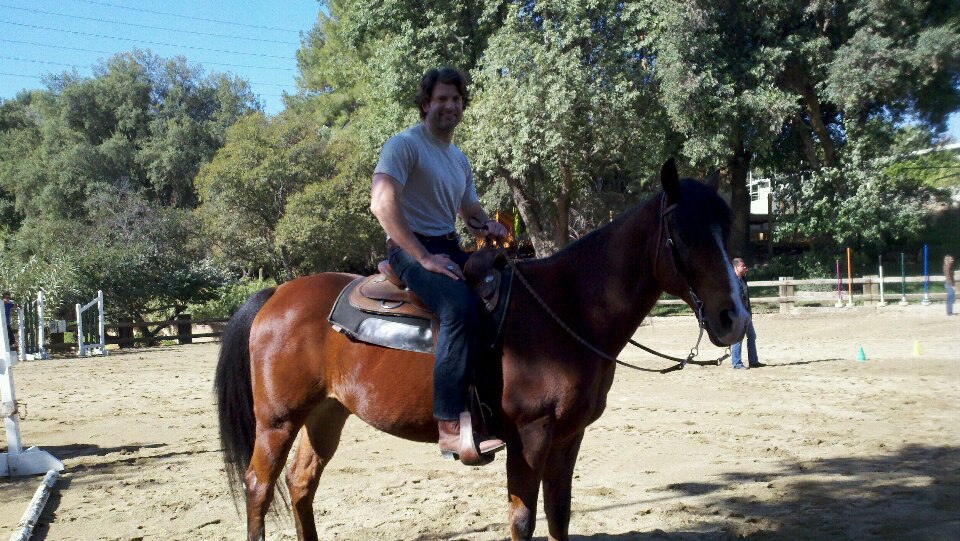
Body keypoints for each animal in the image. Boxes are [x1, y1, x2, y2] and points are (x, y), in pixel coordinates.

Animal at [216, 158, 752, 536]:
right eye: (683, 235)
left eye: (725, 230)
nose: (734, 320)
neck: (567, 307)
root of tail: (276, 295)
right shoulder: (530, 435)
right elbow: (523, 519)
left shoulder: (569, 435)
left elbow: (559, 514)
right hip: (278, 420)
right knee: (259, 487)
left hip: (326, 413)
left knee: (301, 483)